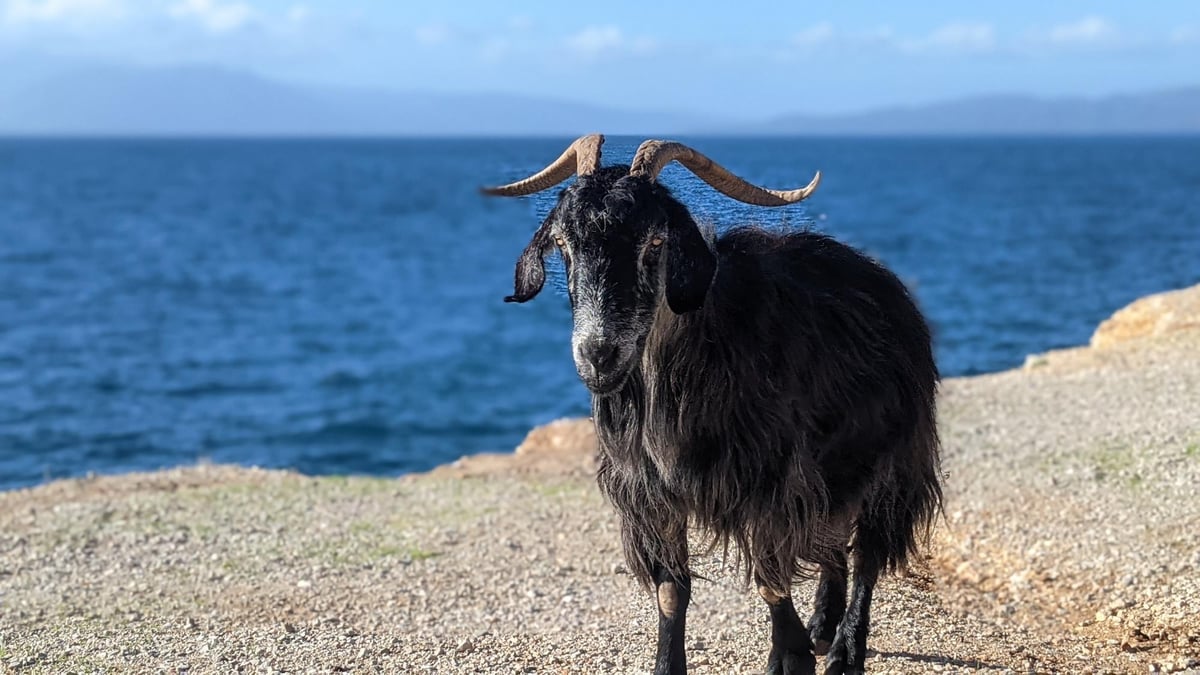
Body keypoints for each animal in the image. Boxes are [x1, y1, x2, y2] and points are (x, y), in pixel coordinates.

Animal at [484, 135, 942, 675]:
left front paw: (789, 658)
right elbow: (671, 590)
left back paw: (846, 650)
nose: (598, 355)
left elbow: (770, 577)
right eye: (562, 245)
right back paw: (822, 627)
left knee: (868, 549)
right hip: (835, 472)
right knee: (832, 542)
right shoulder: (649, 492)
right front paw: (669, 665)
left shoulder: (772, 480)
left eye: (655, 242)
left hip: (894, 456)